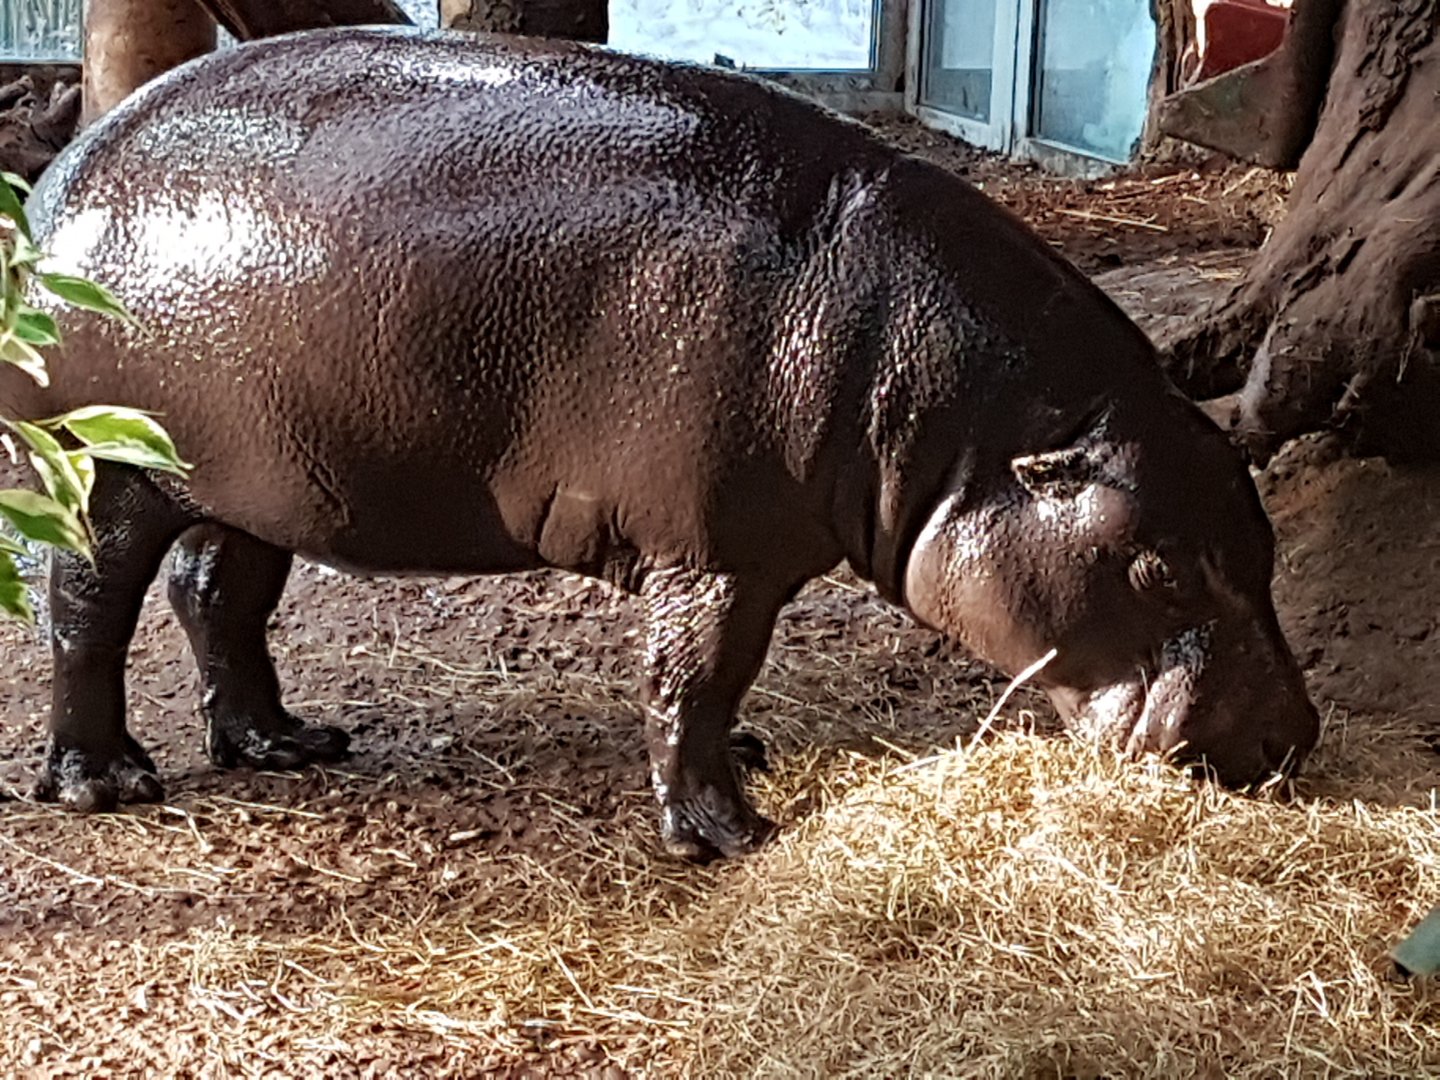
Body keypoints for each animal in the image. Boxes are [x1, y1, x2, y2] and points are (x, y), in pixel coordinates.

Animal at [4, 28, 1318, 859]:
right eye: (1157, 567)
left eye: (1261, 539)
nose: (1291, 740)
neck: (966, 423)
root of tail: (68, 171)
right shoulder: (718, 554)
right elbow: (692, 675)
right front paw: (735, 834)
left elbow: (707, 687)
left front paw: (754, 759)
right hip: (109, 469)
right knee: (89, 607)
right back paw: (108, 783)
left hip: (258, 473)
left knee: (217, 592)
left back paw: (285, 745)